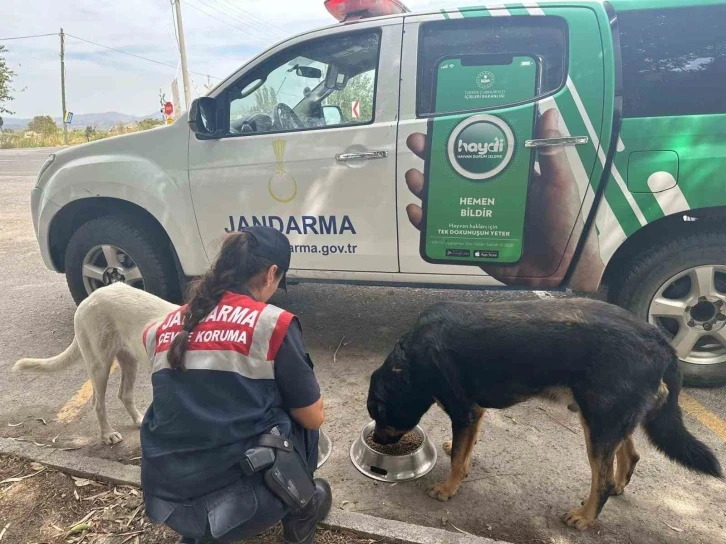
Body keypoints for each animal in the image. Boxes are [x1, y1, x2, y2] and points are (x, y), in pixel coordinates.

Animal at [13, 282, 178, 444]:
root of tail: (89, 298)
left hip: (130, 361)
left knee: (125, 394)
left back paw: (138, 420)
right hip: (100, 366)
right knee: (98, 404)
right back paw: (108, 434)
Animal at [370, 300, 724, 528]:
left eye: (379, 414)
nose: (377, 440)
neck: (409, 363)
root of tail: (661, 342)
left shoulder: (464, 412)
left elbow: (458, 457)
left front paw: (447, 489)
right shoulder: (474, 414)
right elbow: (464, 450)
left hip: (598, 422)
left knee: (603, 479)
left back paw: (585, 517)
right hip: (609, 417)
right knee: (631, 454)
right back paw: (620, 485)